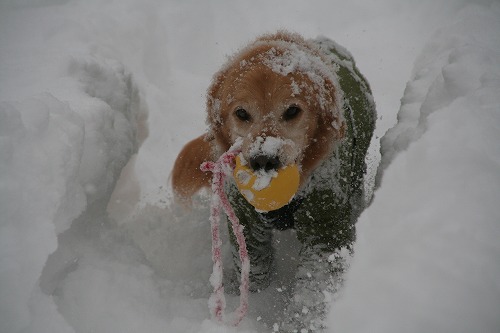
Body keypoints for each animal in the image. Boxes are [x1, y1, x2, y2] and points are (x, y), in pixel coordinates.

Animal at [172, 30, 376, 330]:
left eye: (292, 111)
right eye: (241, 113)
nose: (263, 160)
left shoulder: (325, 225)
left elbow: (315, 285)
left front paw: (301, 323)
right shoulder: (245, 219)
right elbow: (255, 269)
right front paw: (250, 300)